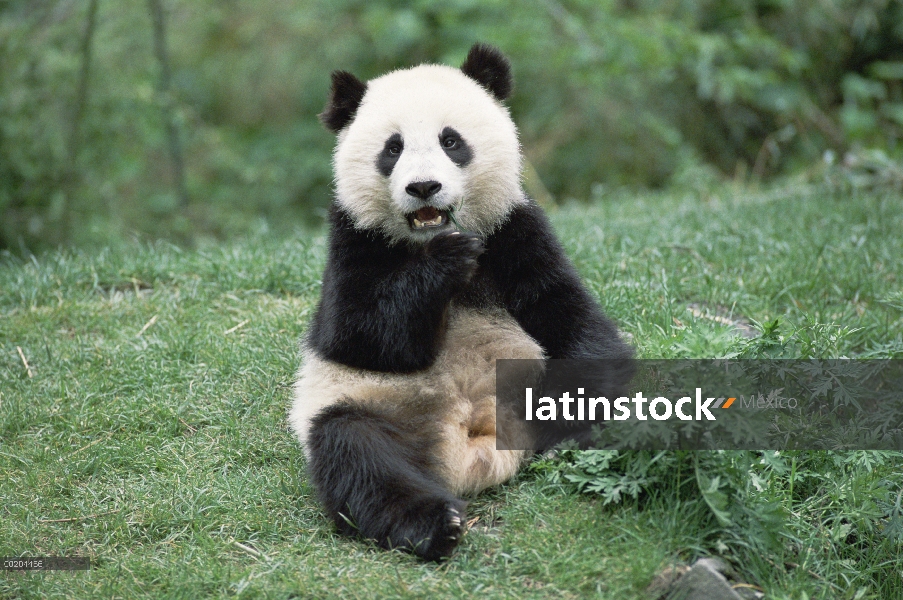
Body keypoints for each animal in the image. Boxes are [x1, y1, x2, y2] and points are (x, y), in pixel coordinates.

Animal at [292, 44, 636, 560]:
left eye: (451, 141)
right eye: (392, 149)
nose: (423, 187)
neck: (429, 236)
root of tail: (467, 450)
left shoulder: (515, 229)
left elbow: (568, 315)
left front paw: (590, 424)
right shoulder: (353, 238)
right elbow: (360, 334)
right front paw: (446, 262)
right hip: (367, 402)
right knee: (357, 453)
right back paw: (435, 524)